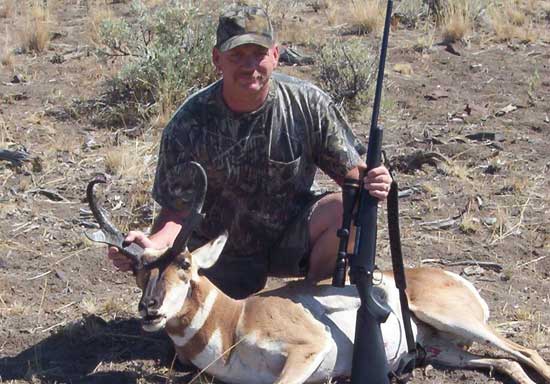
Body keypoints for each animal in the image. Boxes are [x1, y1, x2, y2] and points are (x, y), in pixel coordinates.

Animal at [86, 164, 550, 382]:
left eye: (184, 264)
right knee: (505, 363)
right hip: (444, 349)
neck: (234, 319)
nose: (149, 309)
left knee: (526, 351)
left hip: (456, 320)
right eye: (138, 269)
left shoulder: (307, 349)